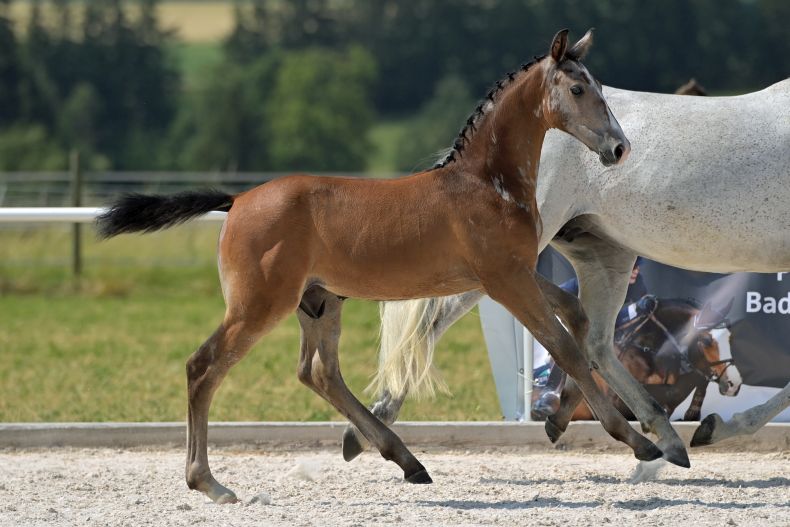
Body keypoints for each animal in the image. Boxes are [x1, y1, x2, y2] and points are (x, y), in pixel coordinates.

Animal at [97, 29, 656, 508]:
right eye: (579, 88)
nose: (619, 147)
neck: (485, 183)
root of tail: (236, 202)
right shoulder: (505, 281)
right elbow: (564, 346)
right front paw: (637, 440)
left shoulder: (510, 273)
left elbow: (576, 319)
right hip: (259, 304)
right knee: (204, 366)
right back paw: (210, 483)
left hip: (318, 302)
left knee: (318, 372)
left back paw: (406, 460)